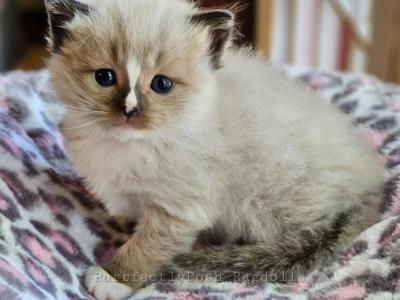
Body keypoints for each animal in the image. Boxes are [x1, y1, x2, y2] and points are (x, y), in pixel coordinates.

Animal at [45, 0, 386, 298]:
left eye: (162, 84)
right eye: (104, 77)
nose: (130, 110)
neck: (129, 146)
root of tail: (370, 185)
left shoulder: (179, 212)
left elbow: (147, 247)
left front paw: (113, 277)